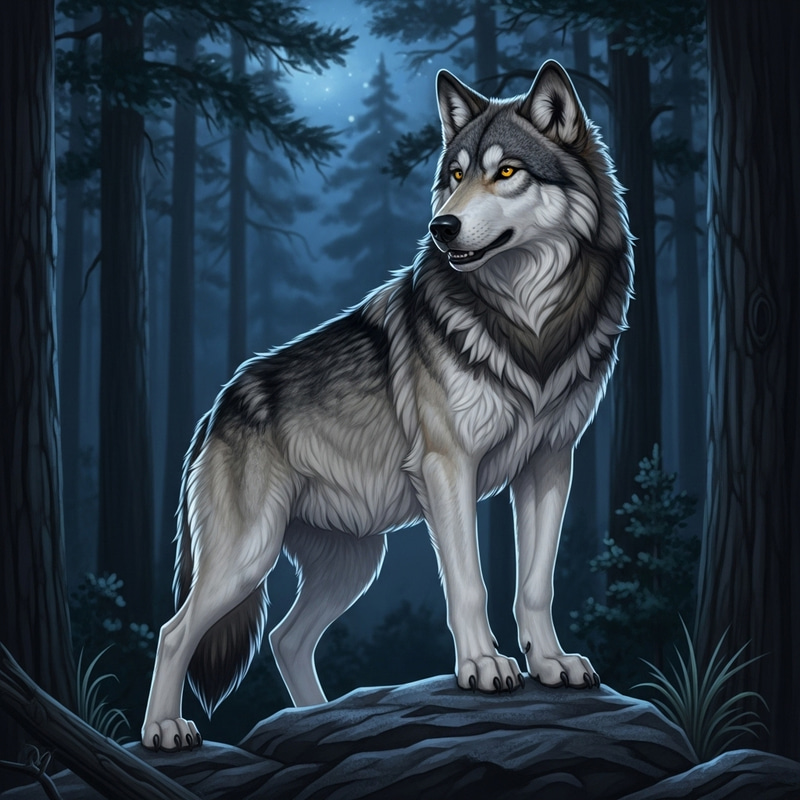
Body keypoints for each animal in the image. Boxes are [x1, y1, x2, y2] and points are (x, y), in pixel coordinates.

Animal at [142, 60, 633, 750]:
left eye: (507, 171)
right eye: (454, 175)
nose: (441, 227)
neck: (530, 326)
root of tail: (217, 408)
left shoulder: (550, 464)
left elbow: (535, 583)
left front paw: (551, 663)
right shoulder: (447, 469)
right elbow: (470, 583)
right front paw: (483, 666)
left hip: (353, 562)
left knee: (286, 639)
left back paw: (317, 719)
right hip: (247, 557)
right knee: (174, 632)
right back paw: (165, 729)